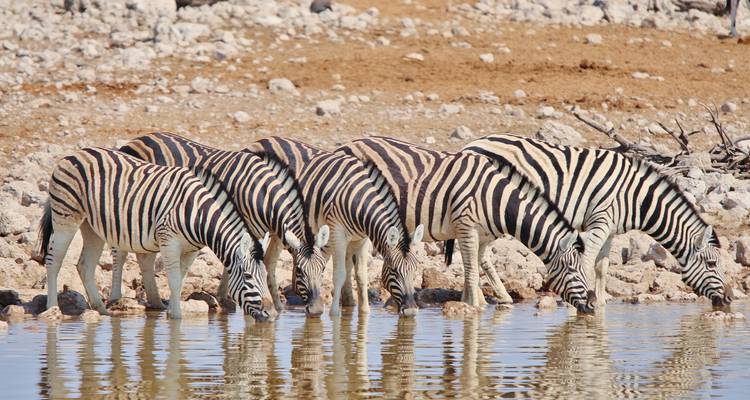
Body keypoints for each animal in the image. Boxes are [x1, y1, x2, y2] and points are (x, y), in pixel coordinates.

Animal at [35, 147, 275, 320]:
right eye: (247, 276)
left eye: (264, 275)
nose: (272, 314)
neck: (197, 214)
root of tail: (73, 154)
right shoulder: (169, 242)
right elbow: (175, 281)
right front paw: (176, 318)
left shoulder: (191, 250)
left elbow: (181, 278)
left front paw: (171, 311)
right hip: (66, 217)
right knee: (54, 261)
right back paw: (53, 308)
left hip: (91, 227)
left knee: (84, 265)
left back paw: (102, 311)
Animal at [118, 132, 330, 316]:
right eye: (300, 270)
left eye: (323, 269)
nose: (318, 310)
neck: (261, 192)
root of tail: (140, 138)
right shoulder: (248, 226)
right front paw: (227, 298)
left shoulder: (275, 232)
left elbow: (268, 264)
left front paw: (277, 306)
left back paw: (155, 302)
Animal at [246, 137, 424, 316]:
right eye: (394, 270)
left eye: (416, 269)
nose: (411, 310)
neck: (359, 198)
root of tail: (261, 140)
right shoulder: (337, 232)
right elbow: (340, 274)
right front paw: (334, 314)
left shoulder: (362, 238)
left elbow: (361, 275)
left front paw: (364, 312)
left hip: (278, 228)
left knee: (269, 262)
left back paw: (278, 307)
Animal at [335, 136, 594, 312]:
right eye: (572, 270)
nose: (592, 306)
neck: (495, 200)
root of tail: (345, 144)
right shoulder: (467, 228)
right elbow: (471, 273)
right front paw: (474, 309)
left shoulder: (483, 237)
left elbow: (476, 270)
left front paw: (470, 303)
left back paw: (348, 302)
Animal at [462, 134, 732, 308]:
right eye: (711, 265)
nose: (730, 299)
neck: (637, 199)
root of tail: (473, 144)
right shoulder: (600, 221)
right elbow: (586, 261)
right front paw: (580, 302)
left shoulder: (610, 228)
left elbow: (602, 266)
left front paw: (600, 305)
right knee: (478, 254)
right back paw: (488, 299)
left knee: (478, 255)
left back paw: (491, 298)